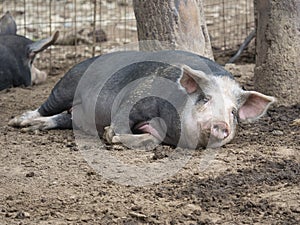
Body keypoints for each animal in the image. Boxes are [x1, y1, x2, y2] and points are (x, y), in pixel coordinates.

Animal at [8, 50, 276, 149]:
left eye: (233, 112)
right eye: (204, 98)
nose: (221, 125)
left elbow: (151, 140)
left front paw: (112, 136)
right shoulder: (135, 97)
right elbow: (123, 119)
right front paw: (110, 134)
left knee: (63, 118)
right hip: (65, 85)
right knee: (46, 107)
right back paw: (18, 123)